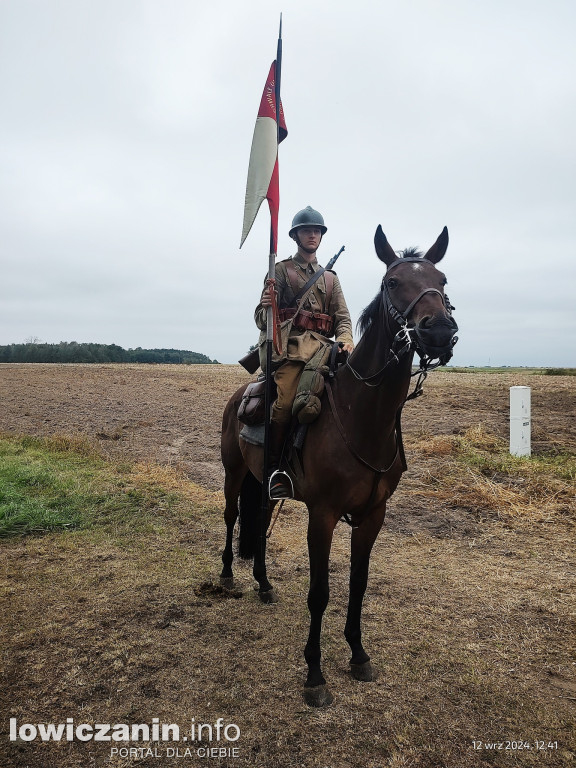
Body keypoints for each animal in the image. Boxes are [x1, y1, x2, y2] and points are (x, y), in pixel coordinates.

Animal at [220, 226, 460, 708]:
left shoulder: (372, 516)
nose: (440, 331)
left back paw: (263, 584)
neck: (361, 414)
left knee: (258, 522)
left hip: (260, 480)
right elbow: (320, 593)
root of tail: (242, 393)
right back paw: (225, 576)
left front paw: (358, 654)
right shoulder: (323, 515)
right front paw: (315, 675)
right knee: (232, 516)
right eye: (392, 282)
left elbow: (359, 584)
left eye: (441, 280)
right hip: (233, 473)